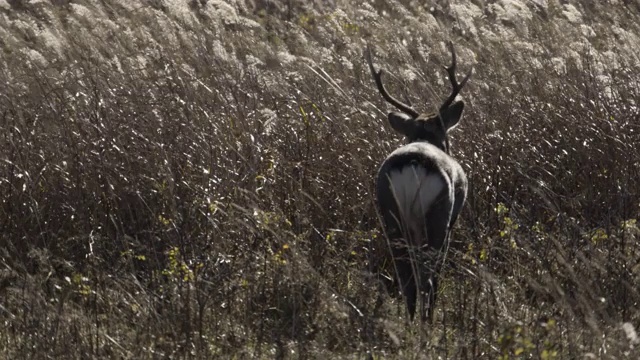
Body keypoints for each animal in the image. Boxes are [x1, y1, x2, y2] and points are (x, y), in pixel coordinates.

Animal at [368, 43, 472, 324]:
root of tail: (413, 163)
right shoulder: (453, 218)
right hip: (438, 214)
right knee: (428, 275)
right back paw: (426, 322)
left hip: (389, 211)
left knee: (406, 274)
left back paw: (411, 321)